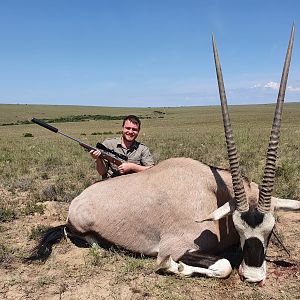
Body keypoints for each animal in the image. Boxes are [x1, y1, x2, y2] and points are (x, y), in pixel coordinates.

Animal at [27, 25, 298, 286]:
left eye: (271, 228)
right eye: (238, 226)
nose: (253, 276)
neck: (213, 192)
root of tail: (76, 202)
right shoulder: (176, 246)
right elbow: (223, 265)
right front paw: (173, 266)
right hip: (84, 232)